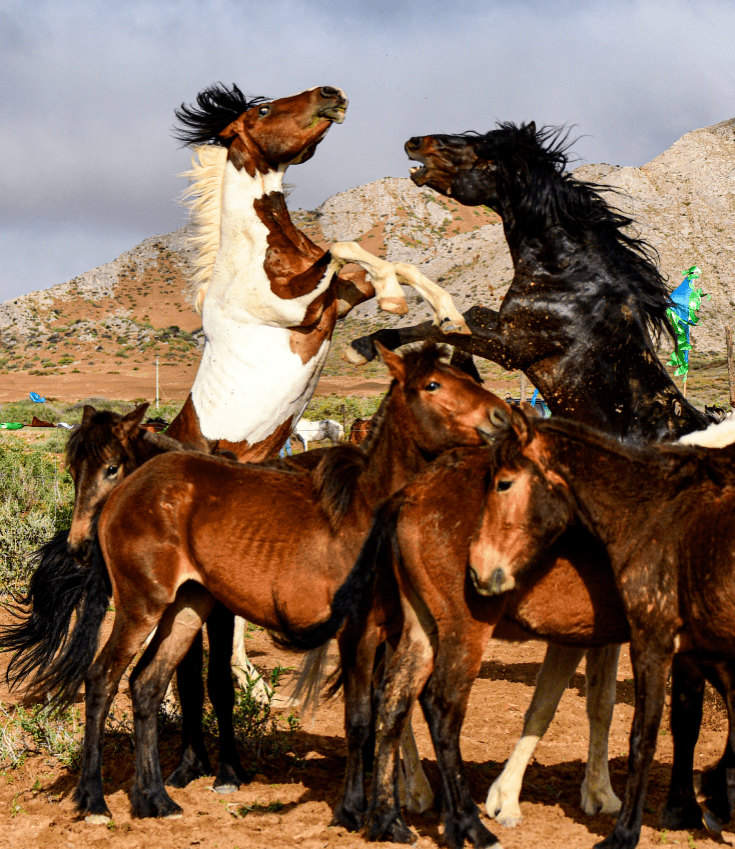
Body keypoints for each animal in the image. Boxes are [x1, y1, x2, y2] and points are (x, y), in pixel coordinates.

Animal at [28, 342, 508, 820]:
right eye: (433, 385)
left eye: (110, 467)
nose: (502, 417)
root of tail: (125, 499)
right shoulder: (352, 627)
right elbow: (350, 710)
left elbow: (382, 703)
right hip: (142, 608)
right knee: (102, 679)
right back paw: (94, 799)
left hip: (185, 607)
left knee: (146, 683)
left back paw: (155, 799)